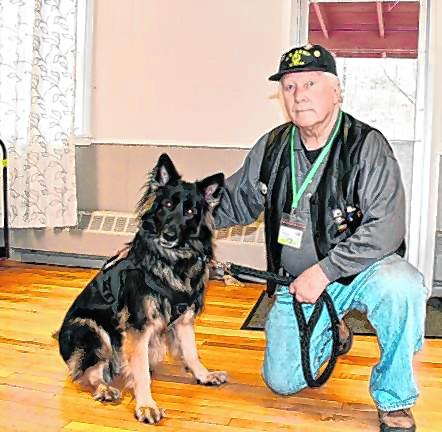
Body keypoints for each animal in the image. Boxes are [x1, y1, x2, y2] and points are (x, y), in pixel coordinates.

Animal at [57, 154, 226, 424]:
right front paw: (146, 405)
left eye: (190, 211)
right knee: (90, 371)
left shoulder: (183, 319)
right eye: (167, 204)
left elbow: (191, 352)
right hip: (91, 327)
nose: (169, 235)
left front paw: (203, 374)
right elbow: (140, 371)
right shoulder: (138, 328)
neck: (171, 260)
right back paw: (104, 388)